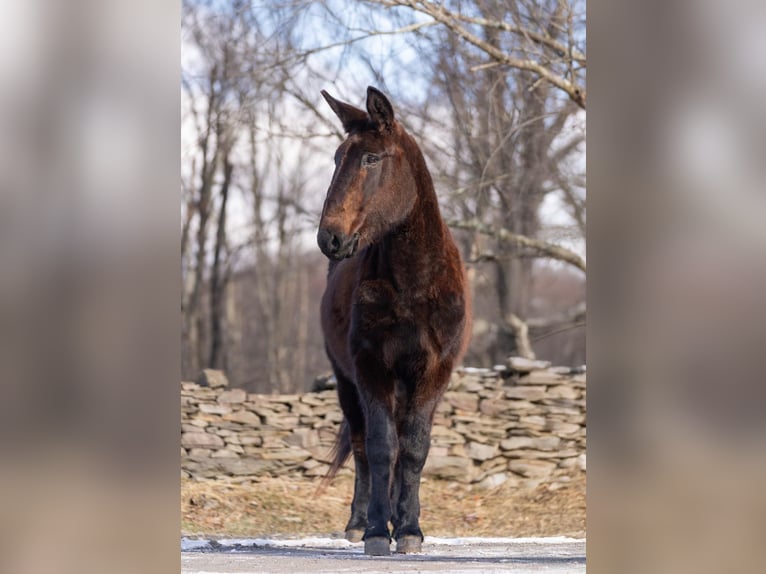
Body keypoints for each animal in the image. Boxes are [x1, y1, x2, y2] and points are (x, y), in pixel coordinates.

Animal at [316, 86, 472, 556]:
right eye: (337, 158)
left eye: (371, 158)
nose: (329, 238)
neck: (413, 282)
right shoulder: (371, 370)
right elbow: (382, 448)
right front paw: (374, 532)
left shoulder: (434, 371)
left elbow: (414, 449)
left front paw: (409, 530)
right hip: (346, 383)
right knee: (362, 447)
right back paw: (358, 522)